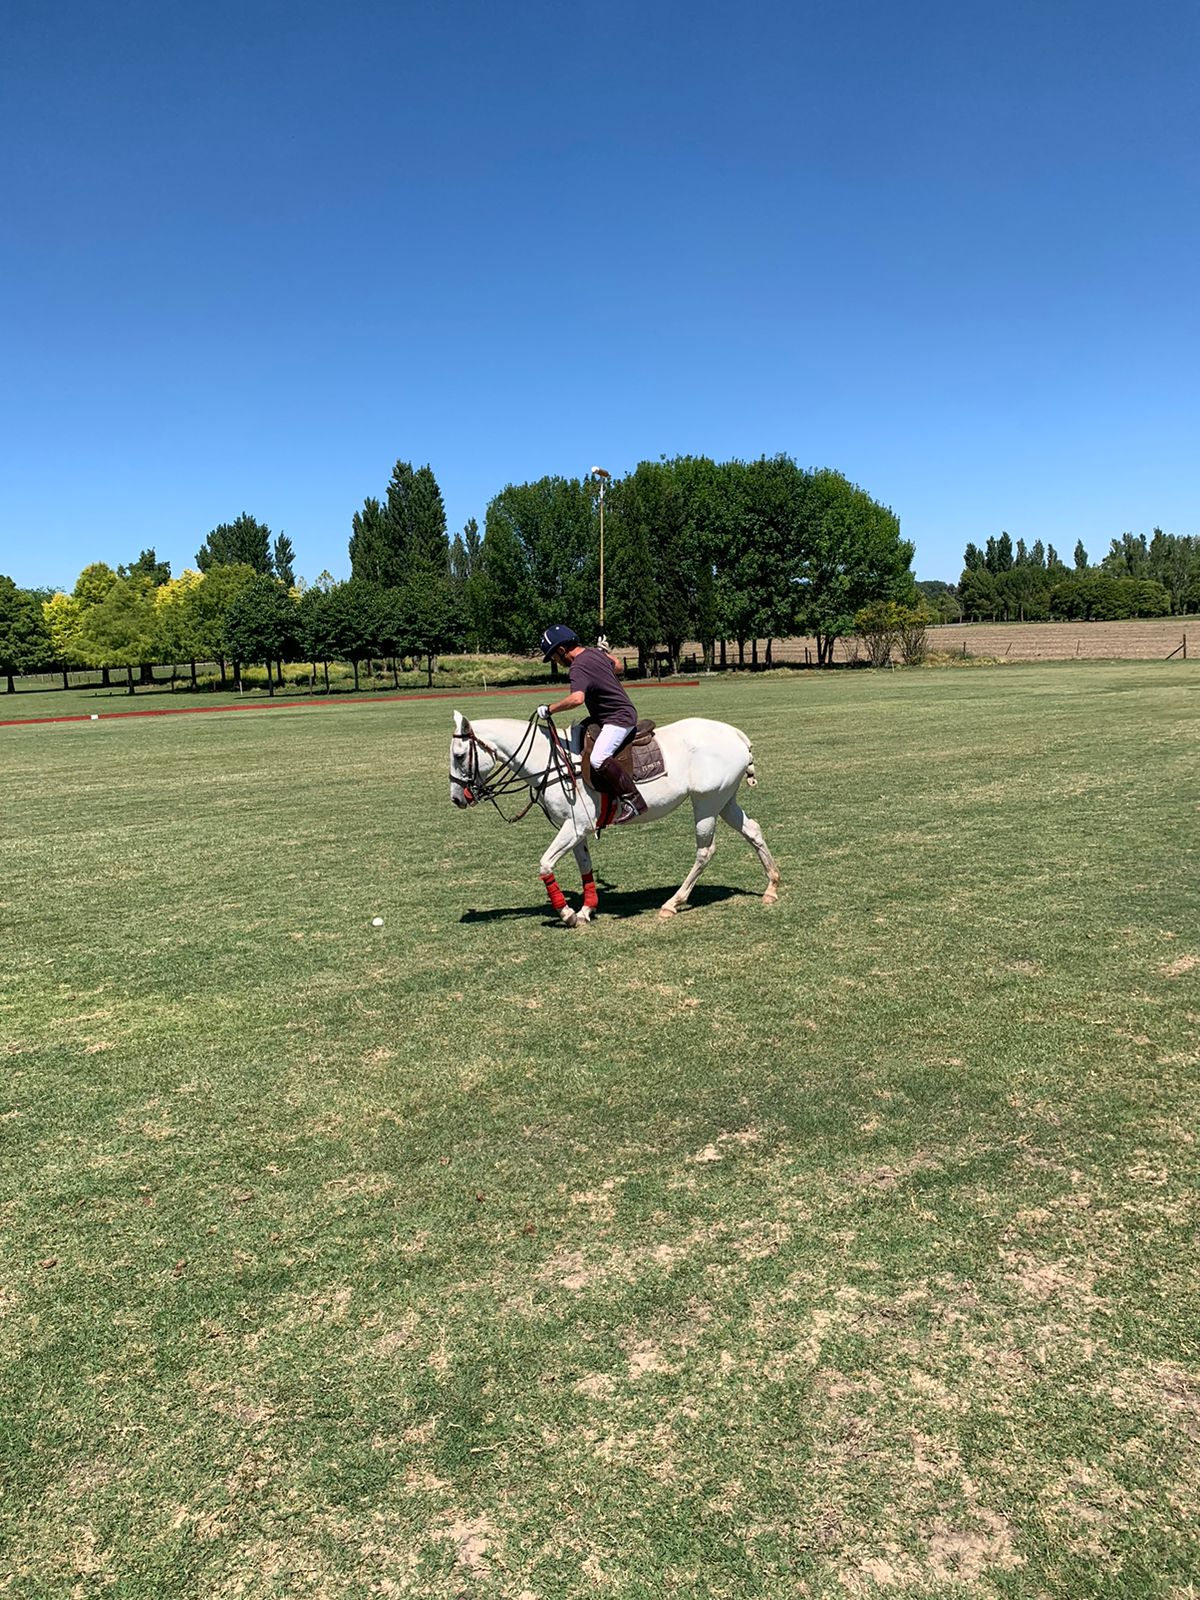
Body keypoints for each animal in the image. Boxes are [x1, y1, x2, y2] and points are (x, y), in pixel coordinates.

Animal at [448, 713, 780, 928]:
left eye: (460, 755)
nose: (457, 798)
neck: (550, 762)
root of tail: (736, 734)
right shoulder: (577, 827)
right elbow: (585, 867)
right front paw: (586, 910)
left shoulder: (575, 826)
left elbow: (545, 864)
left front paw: (567, 914)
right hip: (724, 799)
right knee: (753, 830)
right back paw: (771, 887)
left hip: (707, 801)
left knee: (705, 850)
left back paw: (672, 903)